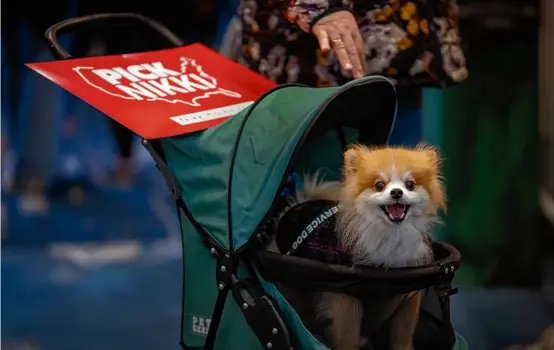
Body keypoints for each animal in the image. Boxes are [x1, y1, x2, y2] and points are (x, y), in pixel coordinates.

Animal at [274, 143, 444, 350]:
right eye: (379, 185)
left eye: (410, 184)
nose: (396, 192)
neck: (390, 234)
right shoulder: (345, 298)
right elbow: (348, 337)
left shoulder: (407, 294)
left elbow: (402, 337)